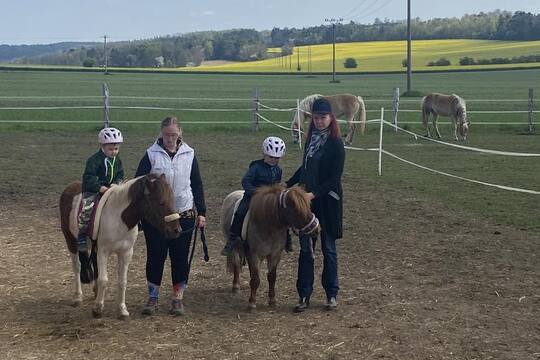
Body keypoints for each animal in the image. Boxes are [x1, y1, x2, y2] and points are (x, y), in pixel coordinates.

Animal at [60, 174, 180, 318]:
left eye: (172, 200)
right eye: (161, 202)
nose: (177, 230)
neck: (119, 218)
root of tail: (70, 186)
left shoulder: (126, 252)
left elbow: (122, 281)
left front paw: (122, 309)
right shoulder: (103, 251)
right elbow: (104, 280)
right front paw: (98, 308)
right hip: (71, 240)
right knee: (77, 267)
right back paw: (78, 297)